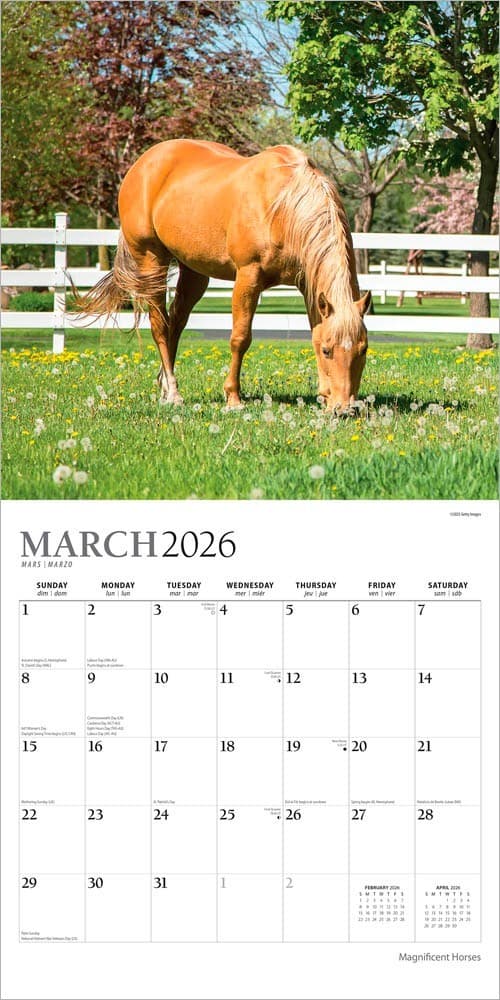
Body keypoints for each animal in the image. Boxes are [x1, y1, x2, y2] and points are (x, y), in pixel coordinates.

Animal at [75, 139, 371, 410]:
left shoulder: (308, 283)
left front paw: (324, 395)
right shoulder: (248, 277)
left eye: (363, 349)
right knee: (159, 325)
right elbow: (240, 338)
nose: (345, 408)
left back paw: (164, 388)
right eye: (327, 350)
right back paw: (173, 393)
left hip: (194, 272)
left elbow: (314, 328)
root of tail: (142, 164)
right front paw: (233, 398)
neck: (282, 206)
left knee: (175, 324)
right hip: (151, 262)